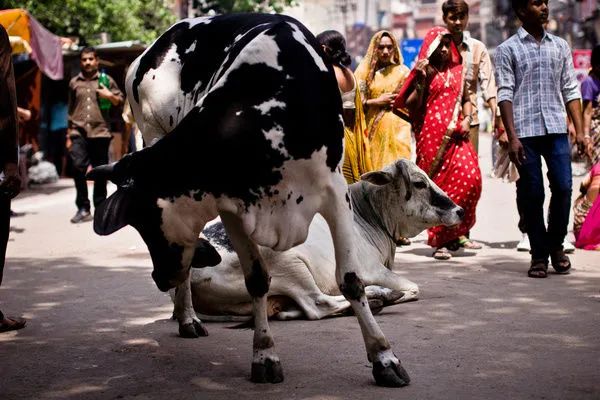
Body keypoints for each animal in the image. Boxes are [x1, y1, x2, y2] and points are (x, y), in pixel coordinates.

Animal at [184, 159, 464, 318]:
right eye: (419, 183)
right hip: (286, 264)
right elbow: (414, 288)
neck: (366, 215)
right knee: (317, 304)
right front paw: (391, 292)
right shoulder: (370, 270)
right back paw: (380, 296)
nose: (459, 210)